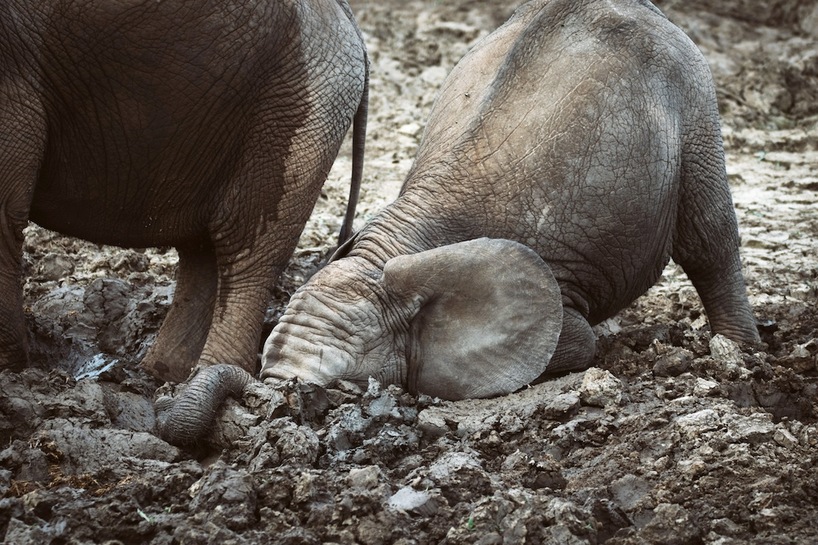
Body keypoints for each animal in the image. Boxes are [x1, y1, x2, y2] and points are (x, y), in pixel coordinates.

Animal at [0, 0, 366, 382]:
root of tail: (352, 25)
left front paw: (8, 367)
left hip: (299, 106)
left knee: (244, 250)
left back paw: (204, 374)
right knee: (205, 251)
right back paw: (163, 376)